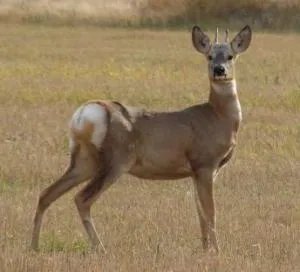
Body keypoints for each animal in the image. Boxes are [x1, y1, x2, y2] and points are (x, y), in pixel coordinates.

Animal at [31, 25, 252, 253]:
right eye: (209, 56)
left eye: (230, 55)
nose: (219, 70)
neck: (218, 118)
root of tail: (85, 115)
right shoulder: (205, 163)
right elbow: (210, 211)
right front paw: (217, 251)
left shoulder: (197, 171)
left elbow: (199, 211)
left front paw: (205, 248)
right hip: (116, 160)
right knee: (81, 198)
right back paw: (101, 248)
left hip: (84, 160)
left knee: (46, 193)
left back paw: (34, 246)